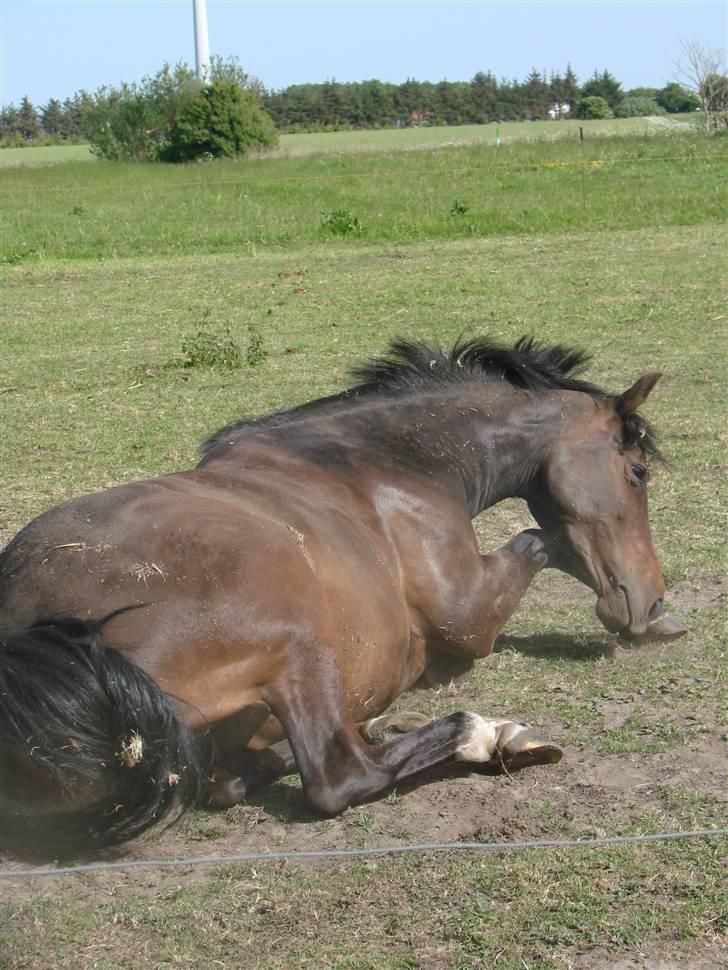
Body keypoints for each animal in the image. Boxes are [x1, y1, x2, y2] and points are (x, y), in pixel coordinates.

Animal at [0, 332, 672, 856]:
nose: (655, 605)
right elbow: (539, 538)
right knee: (337, 776)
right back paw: (483, 734)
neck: (382, 464)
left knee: (231, 777)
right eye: (637, 473)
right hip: (297, 644)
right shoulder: (470, 612)